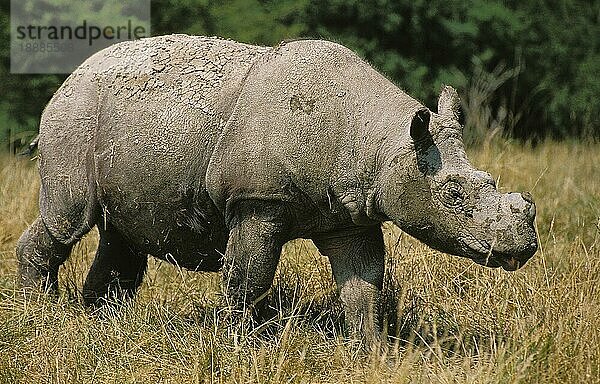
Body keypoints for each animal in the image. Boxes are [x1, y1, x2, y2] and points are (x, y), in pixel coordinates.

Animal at [16, 34, 536, 344]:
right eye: (453, 196)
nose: (524, 246)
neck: (383, 143)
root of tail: (70, 77)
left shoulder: (352, 214)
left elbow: (363, 285)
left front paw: (372, 351)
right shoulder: (258, 201)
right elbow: (249, 278)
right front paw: (233, 341)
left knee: (121, 233)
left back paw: (101, 324)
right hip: (74, 116)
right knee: (69, 219)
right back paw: (41, 312)